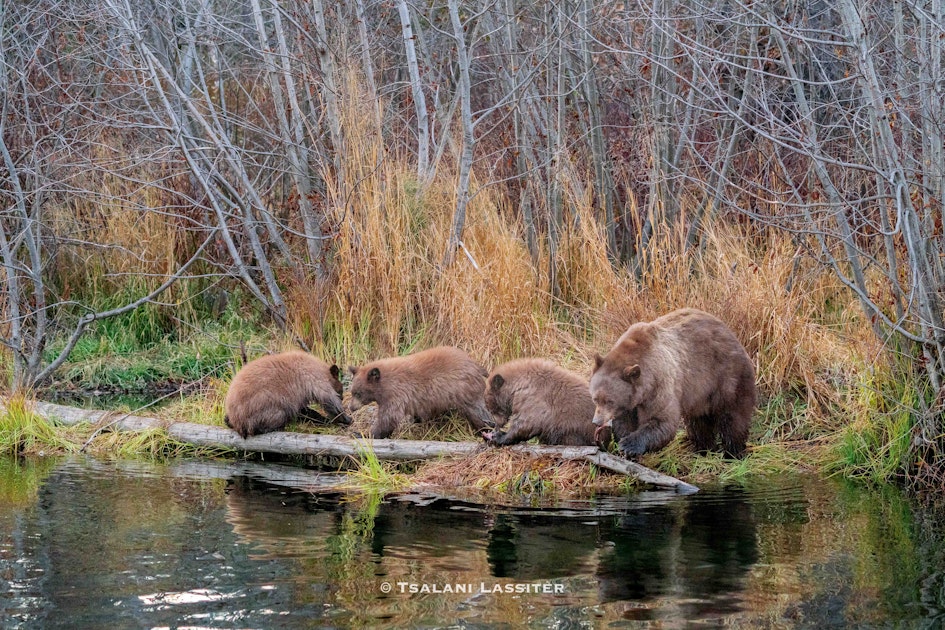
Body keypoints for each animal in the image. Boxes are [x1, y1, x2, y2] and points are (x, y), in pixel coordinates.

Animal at [346, 346, 494, 440]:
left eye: (358, 393)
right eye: (352, 392)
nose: (351, 407)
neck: (384, 385)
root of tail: (476, 365)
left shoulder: (396, 394)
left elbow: (388, 417)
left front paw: (363, 434)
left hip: (464, 391)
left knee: (479, 412)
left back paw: (487, 428)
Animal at [588, 312, 756, 460]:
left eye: (609, 400)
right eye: (595, 399)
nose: (596, 421)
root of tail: (731, 334)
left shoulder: (659, 382)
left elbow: (662, 420)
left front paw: (628, 445)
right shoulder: (630, 402)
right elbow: (624, 422)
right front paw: (624, 444)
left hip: (727, 377)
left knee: (733, 418)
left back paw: (733, 453)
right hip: (699, 395)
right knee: (698, 423)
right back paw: (703, 449)